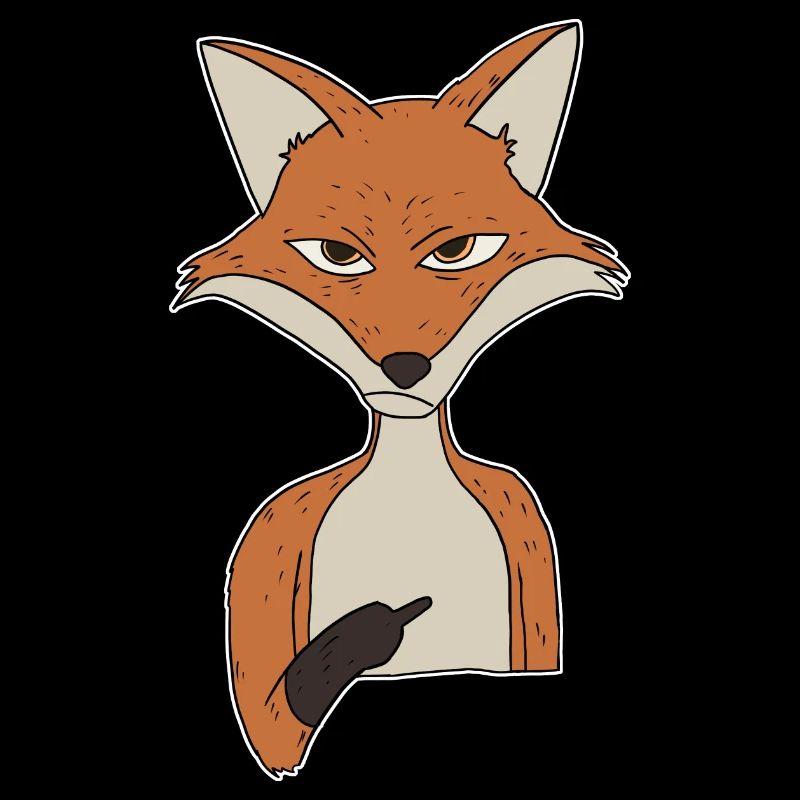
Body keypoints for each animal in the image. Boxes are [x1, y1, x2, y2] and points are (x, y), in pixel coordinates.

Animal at [171, 20, 628, 779]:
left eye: (458, 251)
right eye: (336, 255)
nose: (407, 366)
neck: (408, 498)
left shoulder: (530, 546)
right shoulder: (266, 559)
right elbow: (273, 720)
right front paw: (364, 639)